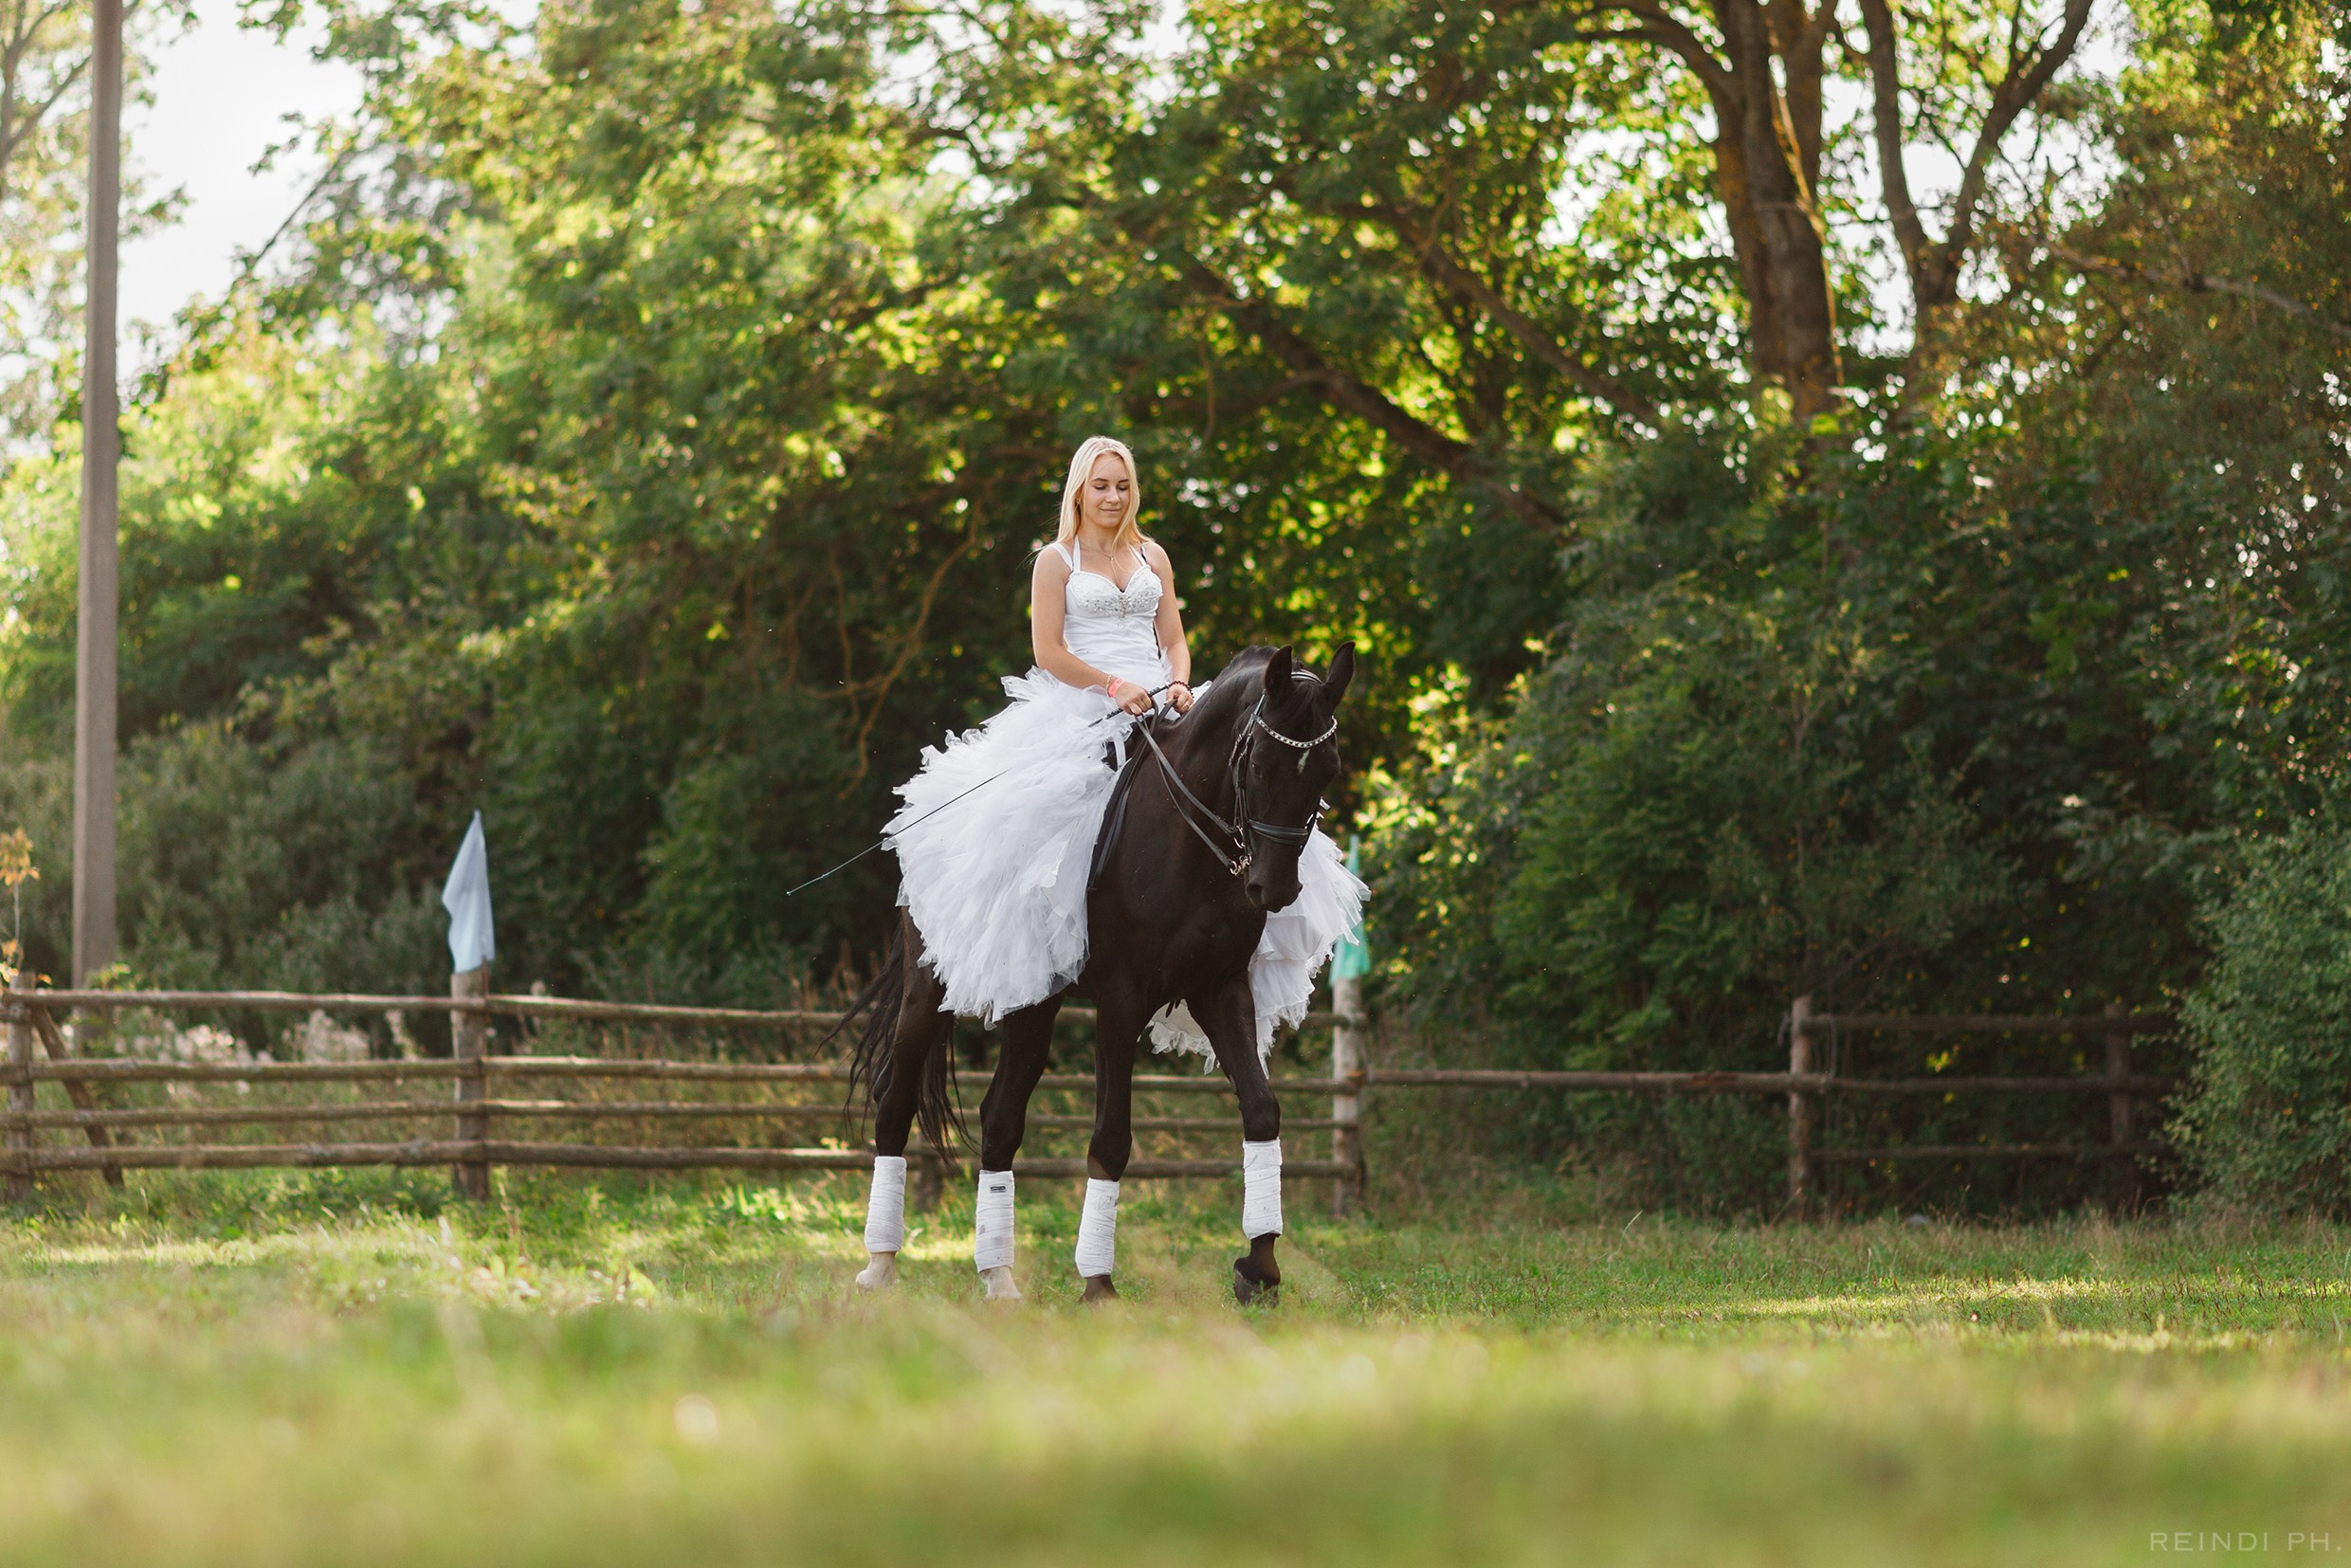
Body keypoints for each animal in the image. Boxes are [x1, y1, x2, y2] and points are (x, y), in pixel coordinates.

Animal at [841, 641, 1355, 1305]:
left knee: (1000, 1120)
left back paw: (998, 1279)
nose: (1275, 889)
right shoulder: (1121, 999)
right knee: (895, 1100)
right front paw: (1099, 1286)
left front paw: (1258, 1268)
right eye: (1262, 765)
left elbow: (1262, 1110)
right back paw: (880, 1266)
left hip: (1032, 1002)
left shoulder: (1221, 989)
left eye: (1328, 772)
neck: (1185, 841)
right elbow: (1111, 1137)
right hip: (928, 991)